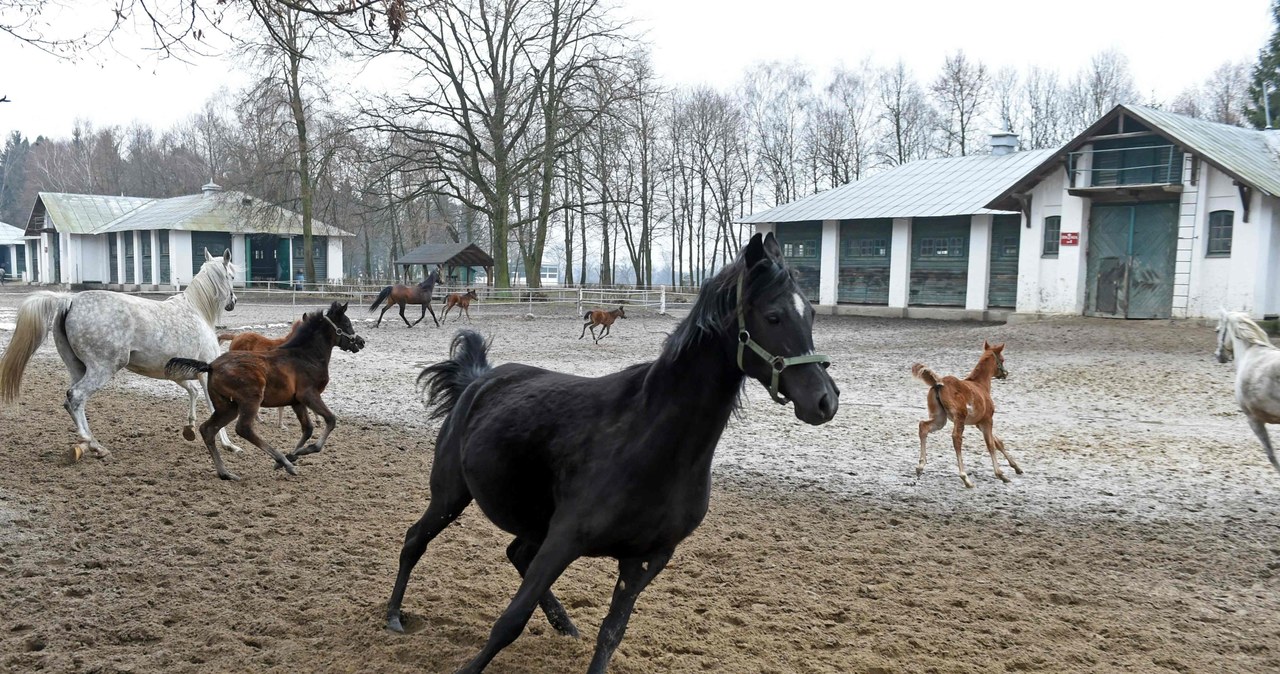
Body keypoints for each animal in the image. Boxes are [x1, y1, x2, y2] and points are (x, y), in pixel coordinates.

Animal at [0, 250, 243, 460]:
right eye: (231, 276)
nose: (233, 302)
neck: (197, 311)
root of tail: (70, 301)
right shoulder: (206, 372)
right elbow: (213, 405)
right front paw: (229, 444)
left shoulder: (179, 374)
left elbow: (193, 393)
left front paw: (190, 428)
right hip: (102, 368)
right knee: (76, 396)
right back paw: (94, 445)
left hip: (77, 367)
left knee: (71, 402)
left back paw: (90, 444)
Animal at [165, 300, 366, 480]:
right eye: (347, 323)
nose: (361, 342)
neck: (305, 356)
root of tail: (211, 365)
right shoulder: (309, 394)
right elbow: (330, 420)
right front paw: (300, 453)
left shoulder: (297, 402)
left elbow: (307, 429)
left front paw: (293, 455)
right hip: (251, 399)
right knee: (243, 428)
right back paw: (283, 462)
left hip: (227, 406)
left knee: (208, 429)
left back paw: (226, 473)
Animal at [911, 342, 1018, 491]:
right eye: (1002, 359)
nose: (1005, 374)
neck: (980, 385)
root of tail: (939, 383)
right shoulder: (987, 420)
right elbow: (991, 444)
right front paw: (1000, 474)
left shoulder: (979, 423)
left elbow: (998, 442)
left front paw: (1017, 468)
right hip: (959, 417)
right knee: (956, 438)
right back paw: (965, 478)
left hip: (940, 419)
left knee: (923, 426)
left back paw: (920, 467)